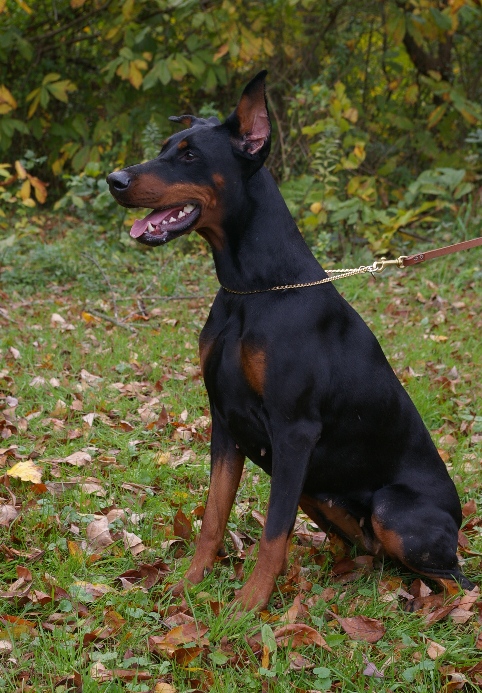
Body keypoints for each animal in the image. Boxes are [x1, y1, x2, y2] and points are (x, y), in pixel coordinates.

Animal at [107, 71, 474, 611]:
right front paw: (189, 585)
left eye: (190, 155)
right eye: (165, 148)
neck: (251, 290)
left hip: (389, 509)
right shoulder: (225, 422)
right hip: (316, 491)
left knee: (455, 580)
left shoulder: (294, 430)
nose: (114, 180)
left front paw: (247, 607)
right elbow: (213, 516)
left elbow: (273, 532)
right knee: (369, 554)